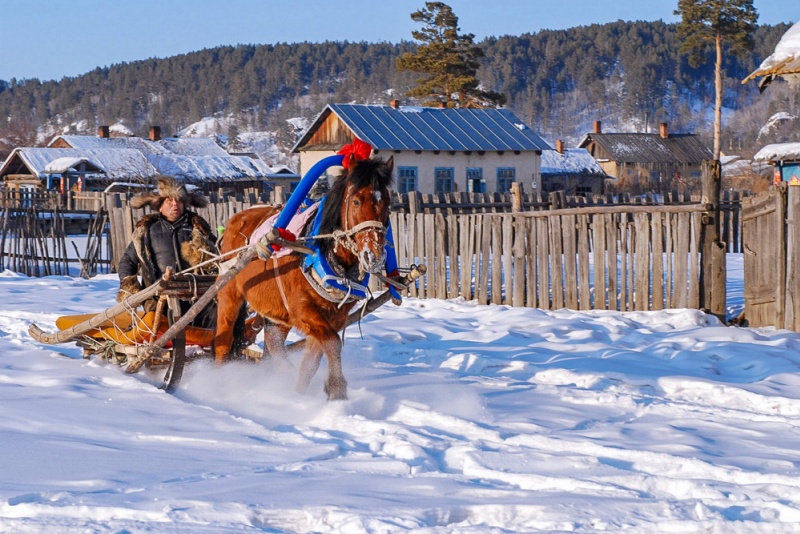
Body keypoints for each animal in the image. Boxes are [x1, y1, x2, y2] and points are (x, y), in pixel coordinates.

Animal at [216, 157, 394, 400]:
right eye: (357, 201)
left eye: (387, 203)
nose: (374, 256)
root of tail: (235, 218)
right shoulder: (302, 309)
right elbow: (333, 343)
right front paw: (337, 388)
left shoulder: (333, 317)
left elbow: (313, 360)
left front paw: (299, 393)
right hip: (229, 293)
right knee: (223, 342)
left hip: (277, 311)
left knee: (273, 343)